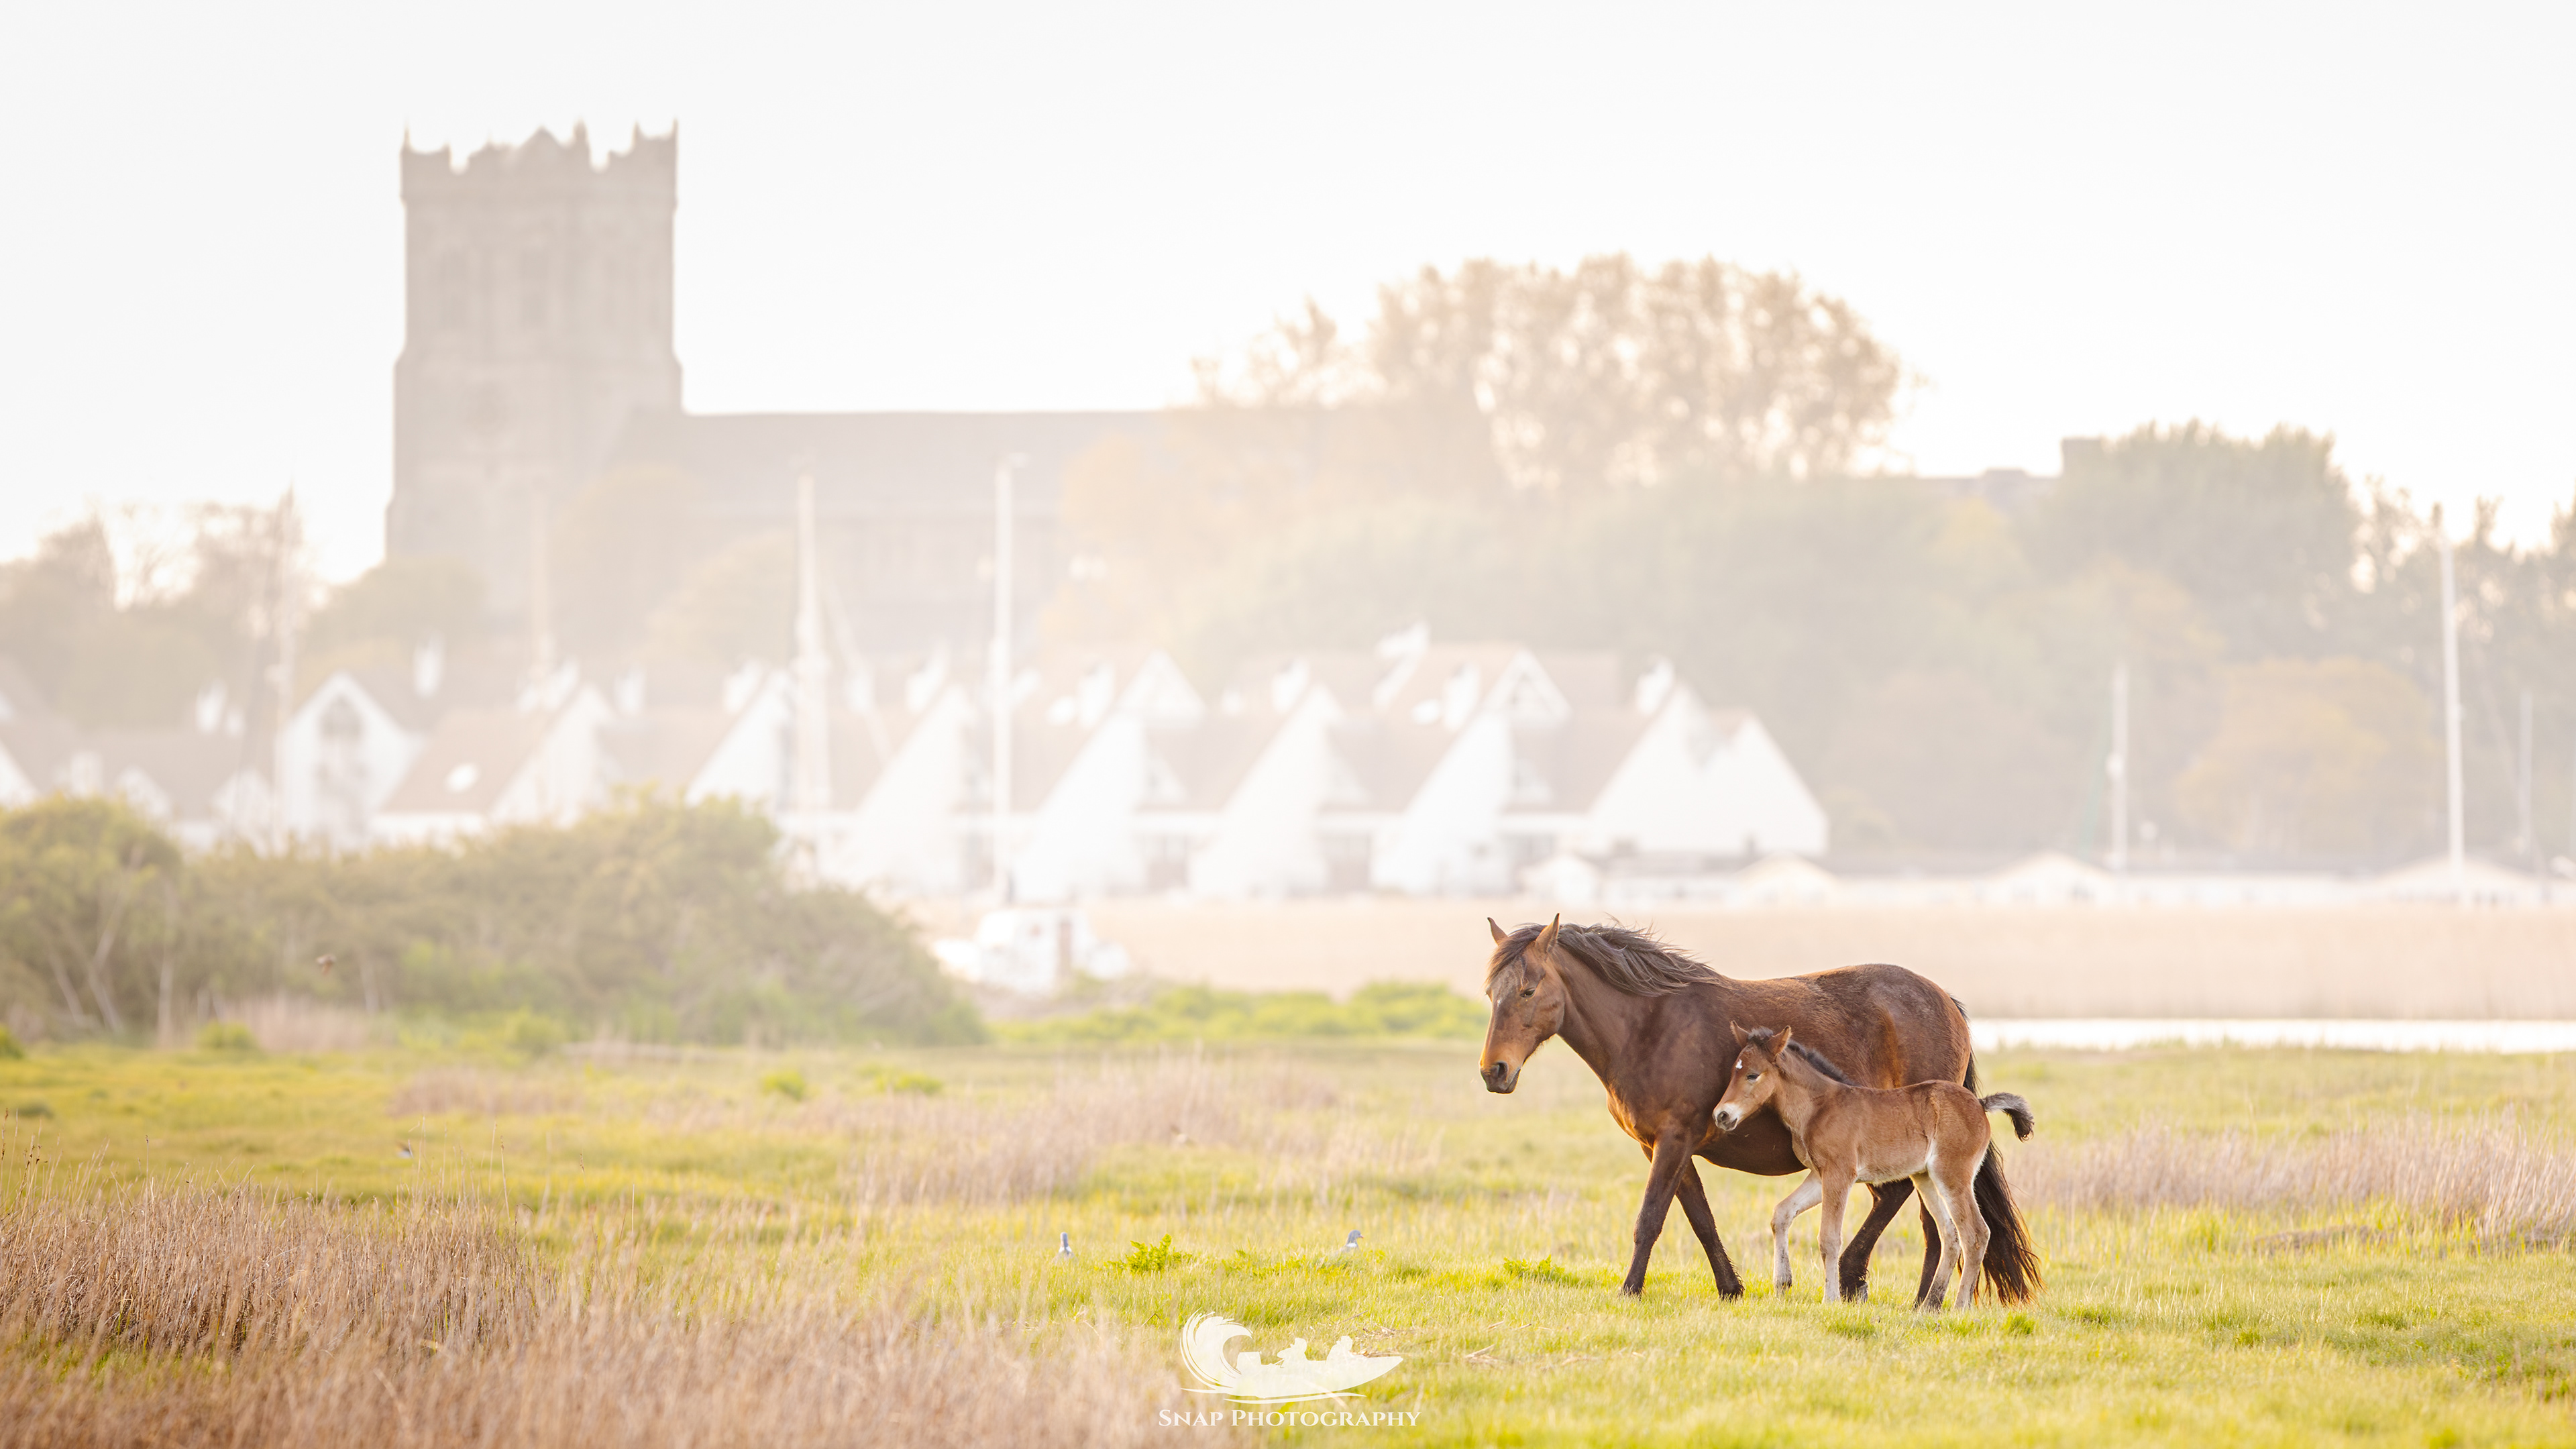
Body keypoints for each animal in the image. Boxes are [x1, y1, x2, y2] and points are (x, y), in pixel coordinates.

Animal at [1713, 1025, 2036, 1308]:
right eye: (1733, 1072)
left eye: (1753, 1075)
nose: (1721, 1115)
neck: (1820, 1107)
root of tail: (1980, 1104)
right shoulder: (1819, 1176)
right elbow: (1781, 1213)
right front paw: (1782, 1284)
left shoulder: (1840, 1175)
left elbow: (1829, 1238)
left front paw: (1831, 1300)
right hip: (1925, 1178)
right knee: (1950, 1234)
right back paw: (1929, 1305)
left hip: (1953, 1176)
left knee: (1975, 1234)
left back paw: (1959, 1307)